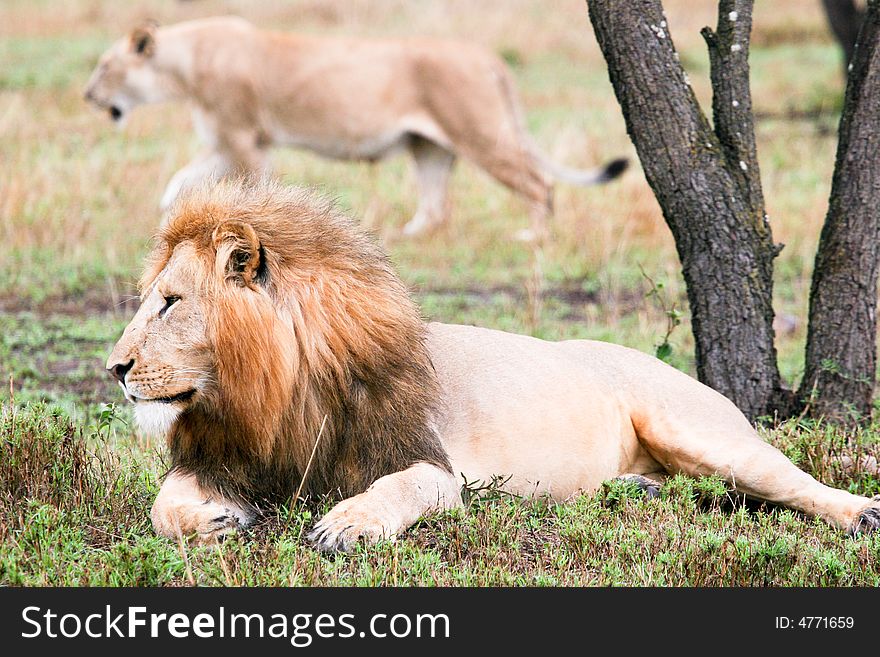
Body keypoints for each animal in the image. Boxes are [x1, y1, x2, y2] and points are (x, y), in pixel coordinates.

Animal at [86, 15, 624, 237]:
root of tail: (488, 57)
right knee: (436, 206)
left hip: (481, 134)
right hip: (428, 148)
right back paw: (407, 237)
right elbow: (179, 181)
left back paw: (534, 237)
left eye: (106, 66)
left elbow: (255, 187)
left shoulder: (243, 138)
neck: (183, 65)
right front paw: (167, 224)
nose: (88, 96)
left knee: (538, 183)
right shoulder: (225, 140)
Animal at [106, 179, 880, 548]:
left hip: (700, 430)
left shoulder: (431, 465)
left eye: (170, 303)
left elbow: (396, 489)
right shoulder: (234, 456)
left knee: (792, 482)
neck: (272, 392)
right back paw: (635, 490)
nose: (114, 368)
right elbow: (163, 504)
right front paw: (215, 522)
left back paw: (860, 513)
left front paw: (345, 525)